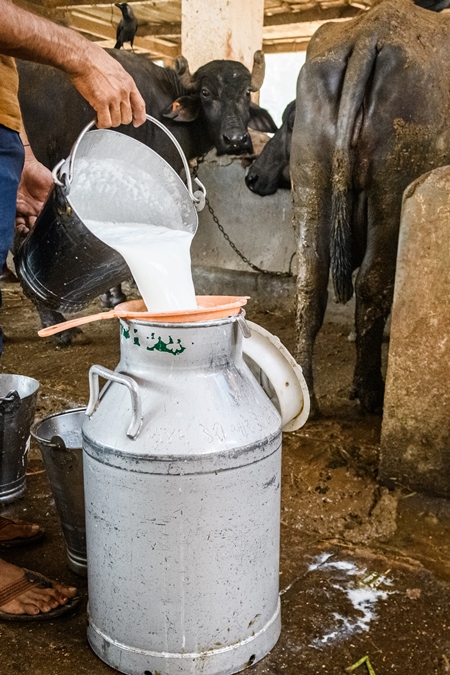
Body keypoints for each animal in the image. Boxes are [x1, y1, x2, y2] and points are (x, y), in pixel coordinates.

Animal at [17, 50, 276, 344]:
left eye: (246, 93)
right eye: (207, 93)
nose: (235, 139)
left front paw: (111, 296)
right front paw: (115, 295)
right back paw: (60, 327)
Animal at [292, 0, 450, 418]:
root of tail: (370, 33)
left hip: (311, 180)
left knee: (310, 281)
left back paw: (306, 392)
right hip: (393, 187)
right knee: (373, 283)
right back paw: (370, 390)